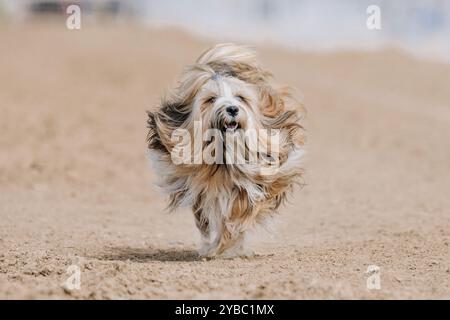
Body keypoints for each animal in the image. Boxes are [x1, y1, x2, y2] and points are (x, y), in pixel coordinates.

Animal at [148, 43, 306, 258]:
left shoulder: (259, 183)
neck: (224, 159)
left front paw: (227, 243)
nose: (232, 109)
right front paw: (216, 247)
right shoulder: (201, 191)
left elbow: (239, 213)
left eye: (240, 98)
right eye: (211, 99)